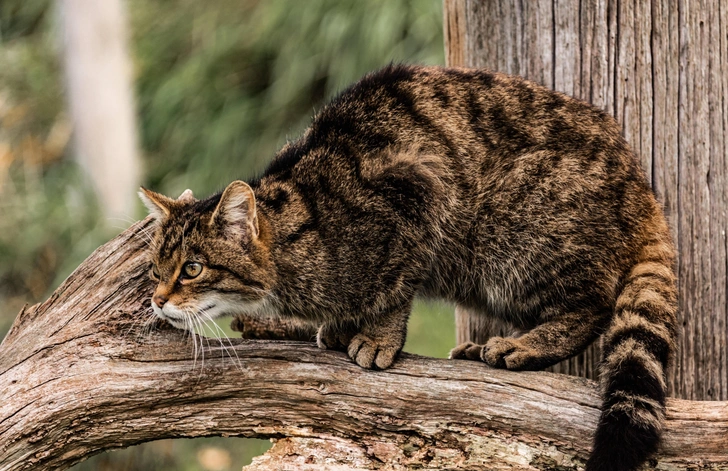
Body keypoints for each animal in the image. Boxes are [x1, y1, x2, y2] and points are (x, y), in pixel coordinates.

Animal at [141, 65, 676, 471]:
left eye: (192, 269)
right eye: (154, 270)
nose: (157, 300)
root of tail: (640, 184)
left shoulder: (416, 192)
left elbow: (396, 288)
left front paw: (378, 337)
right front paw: (338, 326)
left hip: (511, 231)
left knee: (594, 304)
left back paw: (524, 345)